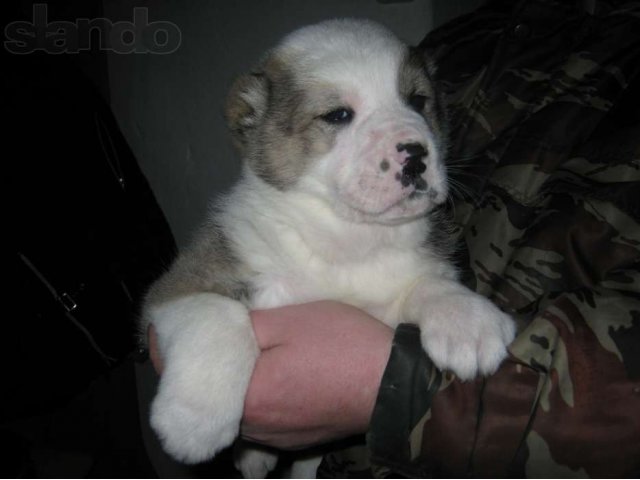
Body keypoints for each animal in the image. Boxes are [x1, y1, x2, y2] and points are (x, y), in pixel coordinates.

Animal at [142, 17, 516, 476]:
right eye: (338, 115)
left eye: (417, 100)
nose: (415, 154)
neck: (346, 237)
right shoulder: (179, 284)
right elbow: (217, 313)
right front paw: (193, 420)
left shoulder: (386, 306)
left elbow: (428, 283)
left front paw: (467, 319)